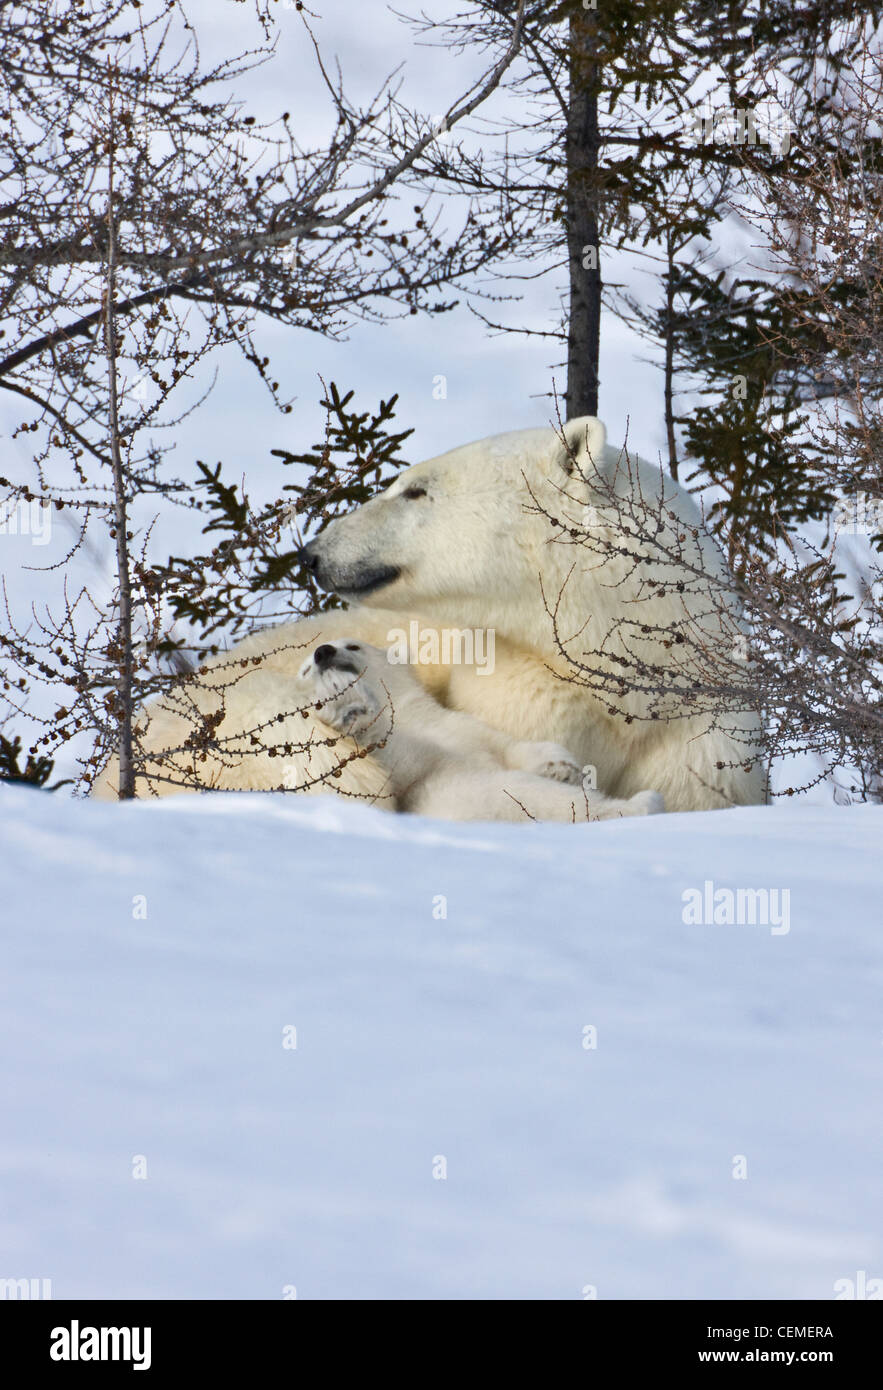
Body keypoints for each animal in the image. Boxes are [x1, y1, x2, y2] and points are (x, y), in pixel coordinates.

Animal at [298, 636, 661, 817]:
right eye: (304, 670)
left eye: (354, 645)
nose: (323, 652)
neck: (407, 713)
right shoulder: (408, 769)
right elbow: (389, 754)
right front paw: (344, 697)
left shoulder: (458, 725)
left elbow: (507, 746)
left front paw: (561, 765)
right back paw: (644, 802)